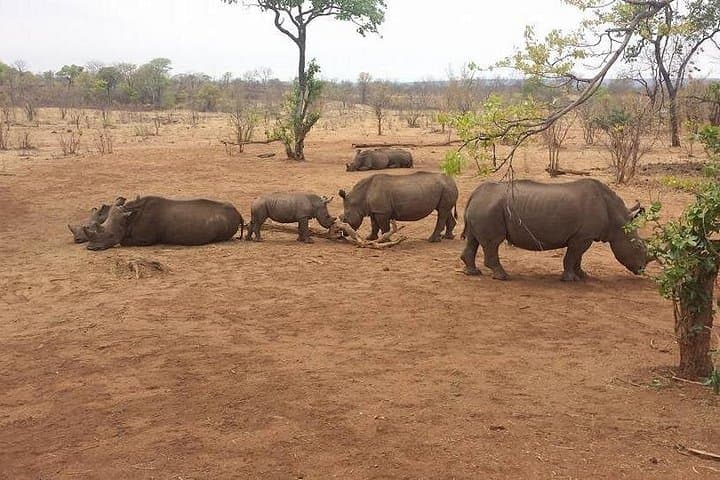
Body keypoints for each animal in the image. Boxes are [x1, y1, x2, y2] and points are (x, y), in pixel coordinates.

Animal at [83, 196, 243, 251]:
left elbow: (123, 241)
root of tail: (238, 213)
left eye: (111, 235)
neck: (128, 218)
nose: (91, 248)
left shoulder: (145, 239)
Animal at [460, 179, 650, 281]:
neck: (618, 221)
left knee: (473, 239)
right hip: (489, 208)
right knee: (493, 243)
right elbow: (572, 257)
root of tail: (474, 194)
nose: (641, 270)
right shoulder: (582, 237)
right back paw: (503, 276)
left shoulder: (583, 236)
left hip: (484, 206)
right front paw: (570, 279)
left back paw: (472, 273)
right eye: (639, 246)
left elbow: (578, 258)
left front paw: (583, 275)